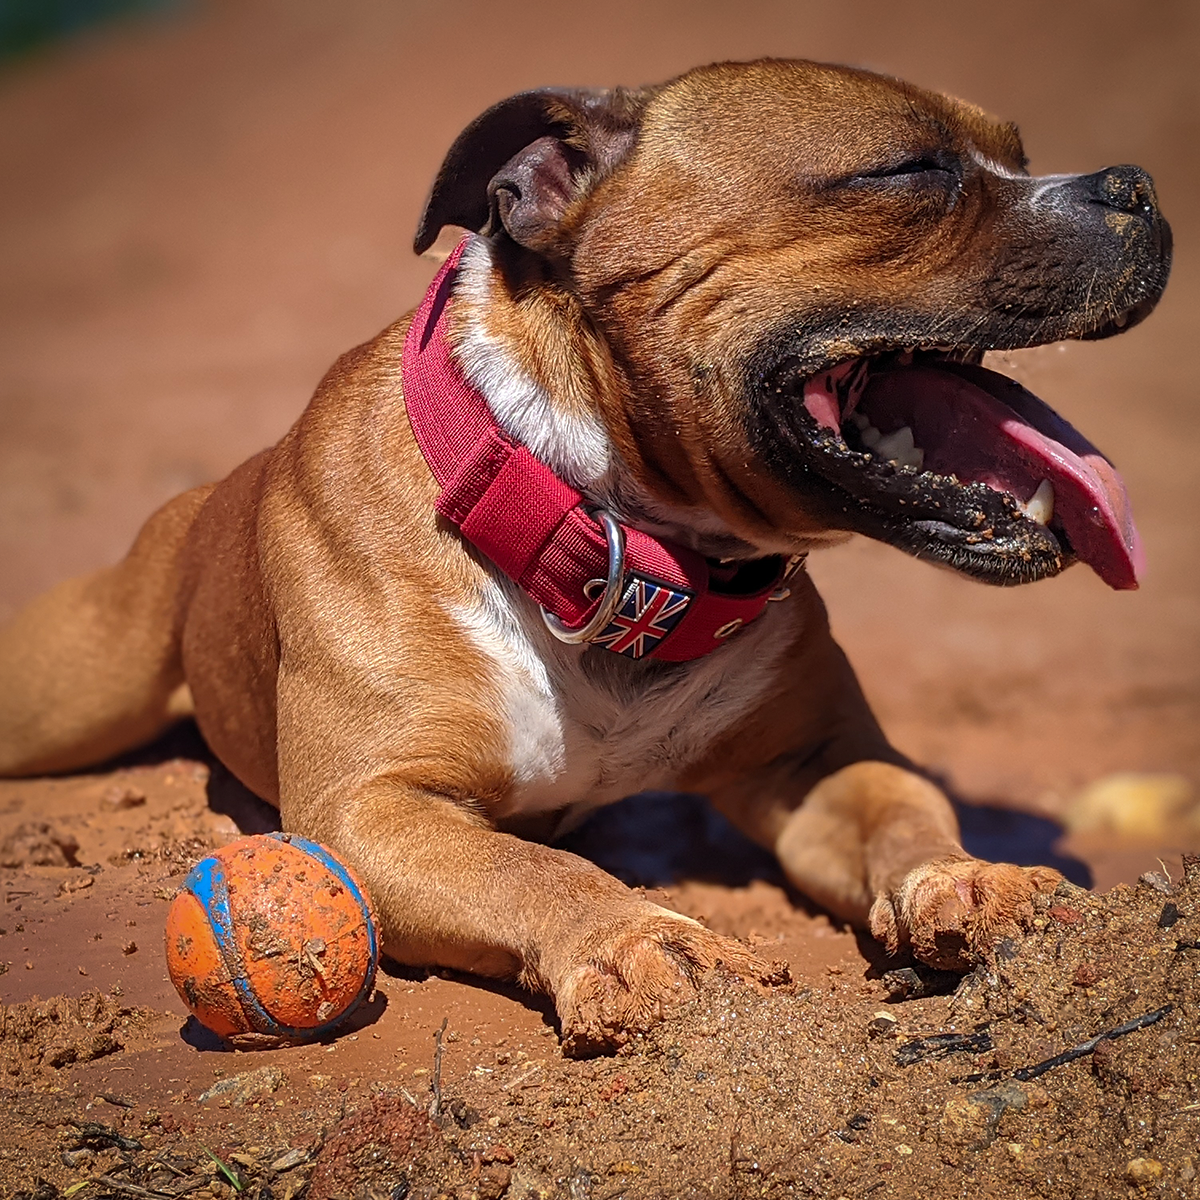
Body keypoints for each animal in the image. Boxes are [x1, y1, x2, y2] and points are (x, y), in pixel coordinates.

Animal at [0, 58, 1166, 1051]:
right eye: (907, 170)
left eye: (1015, 146)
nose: (1141, 185)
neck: (610, 549)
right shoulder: (368, 810)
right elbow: (530, 869)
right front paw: (638, 938)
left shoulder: (819, 761)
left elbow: (906, 812)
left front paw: (970, 879)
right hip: (77, 690)